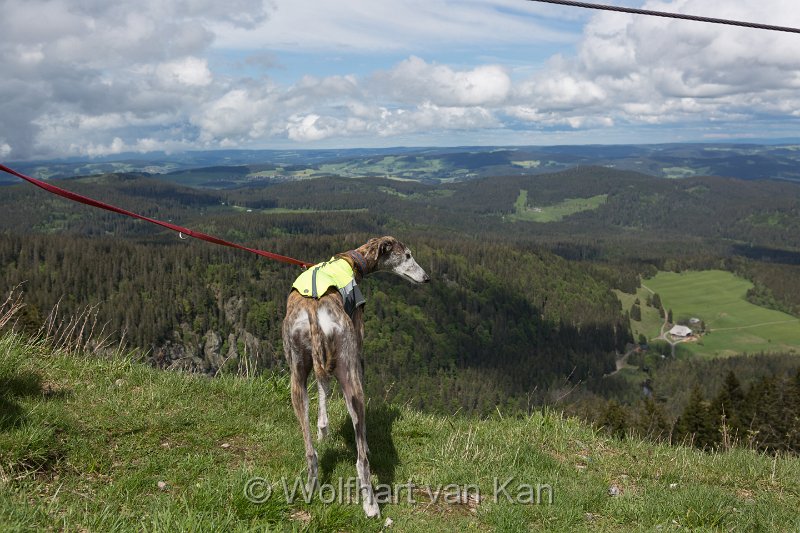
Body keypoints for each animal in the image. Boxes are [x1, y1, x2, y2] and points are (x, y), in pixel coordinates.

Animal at [282, 234, 432, 516]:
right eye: (407, 255)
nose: (427, 278)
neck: (351, 260)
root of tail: (313, 312)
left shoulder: (322, 366)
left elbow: (323, 389)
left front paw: (323, 430)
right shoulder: (358, 345)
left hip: (297, 375)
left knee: (311, 453)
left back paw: (311, 485)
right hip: (351, 375)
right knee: (361, 461)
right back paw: (371, 505)